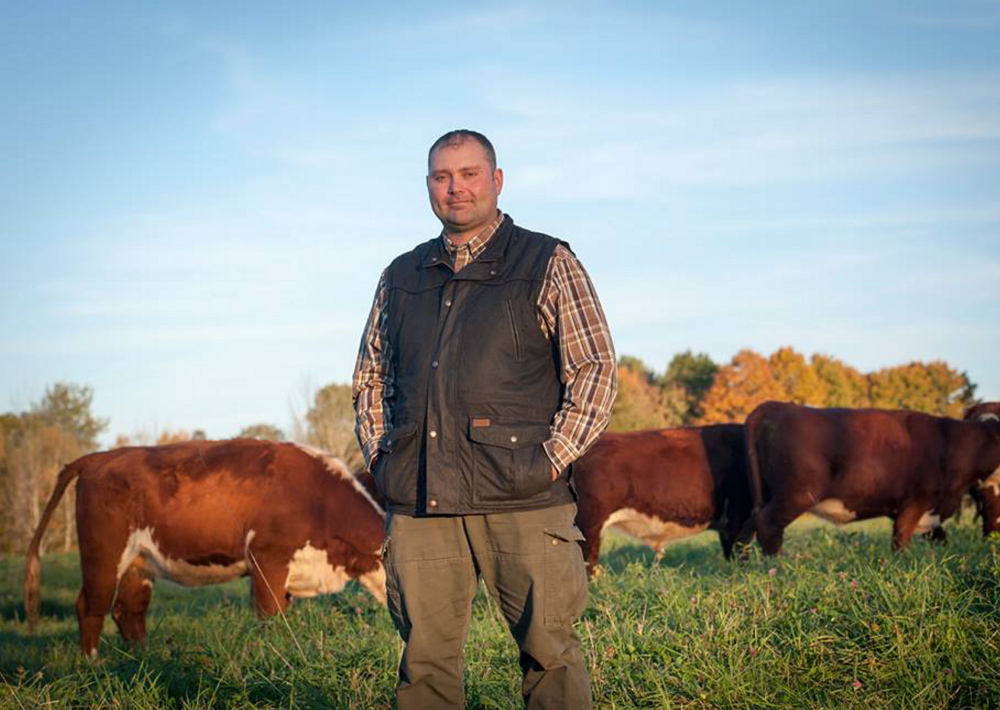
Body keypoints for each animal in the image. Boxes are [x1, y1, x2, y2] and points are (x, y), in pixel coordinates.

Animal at [26, 442, 386, 660]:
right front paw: (273, 653)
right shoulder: (267, 559)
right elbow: (270, 615)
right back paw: (92, 664)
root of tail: (98, 457)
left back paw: (143, 659)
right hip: (102, 556)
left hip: (138, 562)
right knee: (90, 607)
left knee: (128, 611)